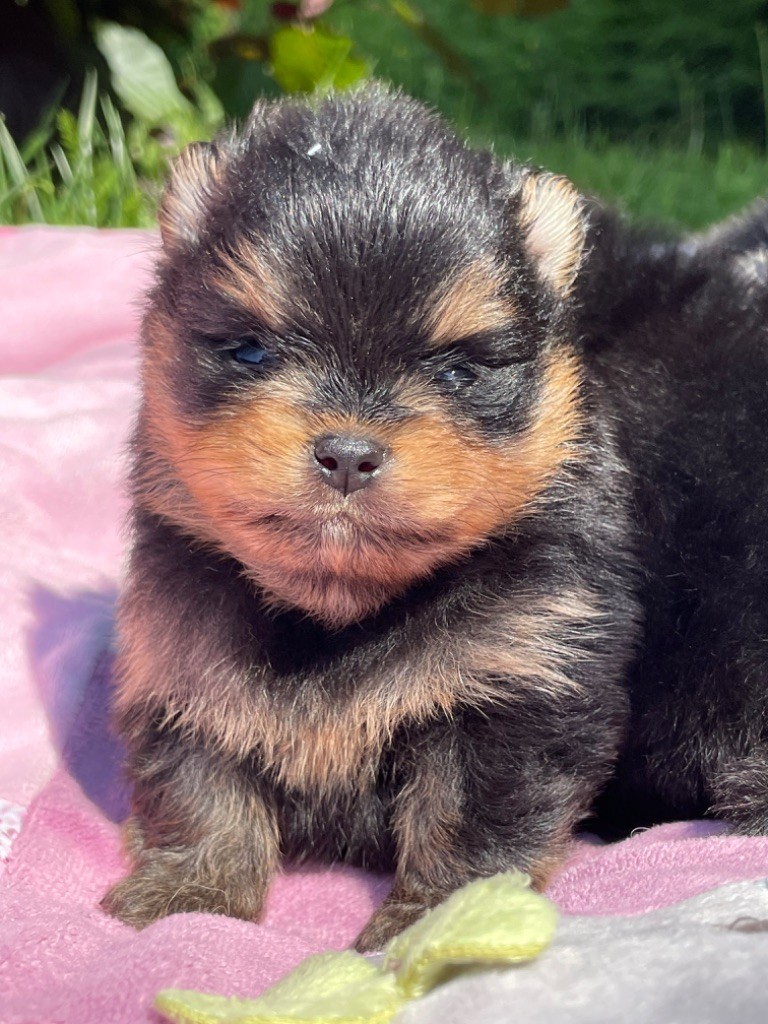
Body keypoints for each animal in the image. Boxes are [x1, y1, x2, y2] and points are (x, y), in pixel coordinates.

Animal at [100, 83, 768, 946]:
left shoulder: (517, 674)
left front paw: (435, 924)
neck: (338, 622)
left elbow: (469, 815)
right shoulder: (180, 660)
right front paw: (186, 898)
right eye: (250, 351)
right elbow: (199, 782)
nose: (348, 452)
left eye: (457, 372)